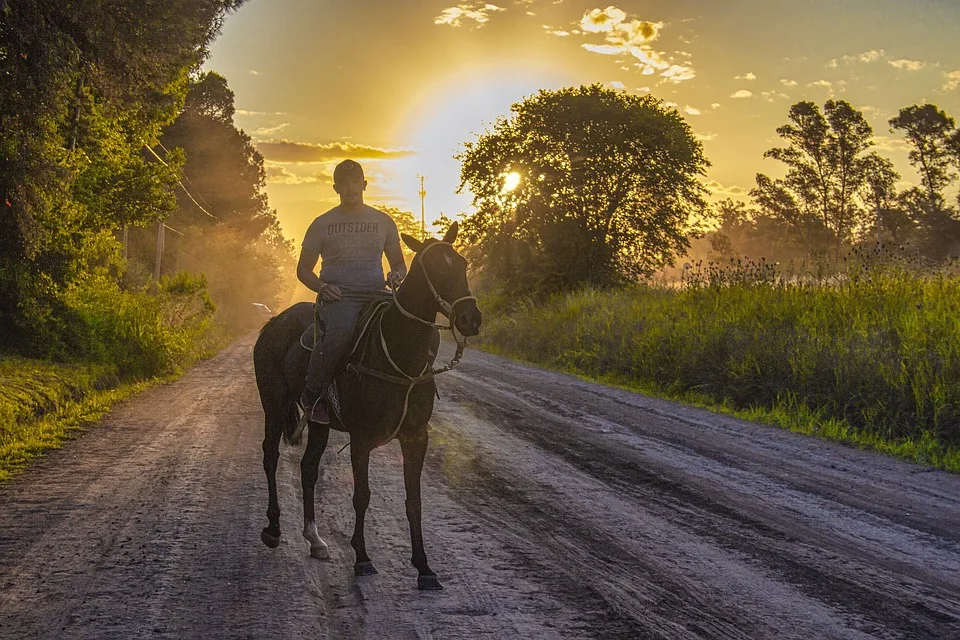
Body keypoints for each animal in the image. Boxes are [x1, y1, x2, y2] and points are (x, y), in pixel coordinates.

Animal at [253, 221, 484, 592]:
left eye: (461, 264)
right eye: (435, 267)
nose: (471, 318)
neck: (399, 353)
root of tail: (272, 323)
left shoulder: (416, 437)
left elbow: (414, 502)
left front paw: (424, 568)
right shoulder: (361, 438)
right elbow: (361, 495)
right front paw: (362, 558)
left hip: (318, 422)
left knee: (308, 468)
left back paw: (315, 539)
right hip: (274, 404)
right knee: (270, 456)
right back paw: (273, 529)